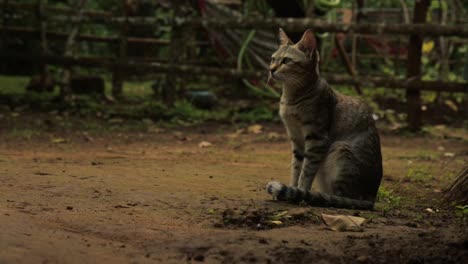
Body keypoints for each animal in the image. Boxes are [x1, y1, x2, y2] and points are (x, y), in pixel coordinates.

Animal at [266, 28, 382, 210]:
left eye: (286, 60)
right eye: (273, 59)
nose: (271, 69)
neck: (291, 98)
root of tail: (371, 199)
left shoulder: (316, 140)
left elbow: (306, 172)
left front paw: (299, 193)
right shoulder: (296, 139)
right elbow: (296, 169)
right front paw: (292, 189)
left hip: (340, 149)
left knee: (340, 198)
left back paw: (320, 198)